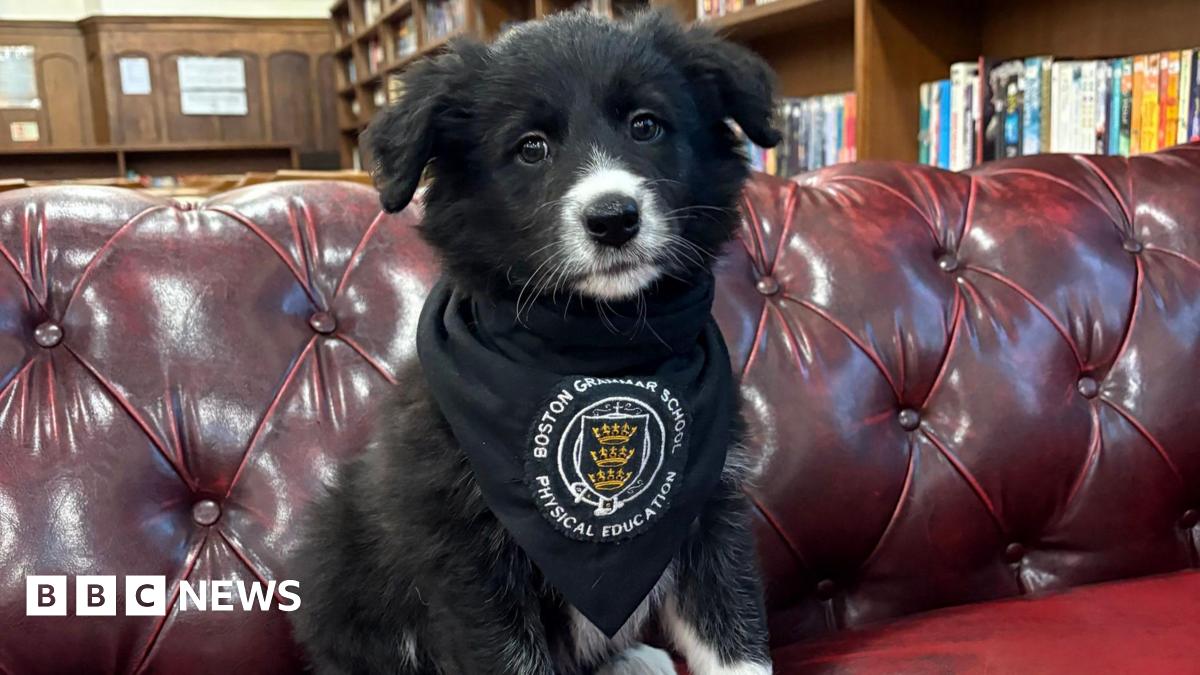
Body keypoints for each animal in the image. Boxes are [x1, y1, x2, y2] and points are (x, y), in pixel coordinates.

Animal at [291, 9, 780, 675]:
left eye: (646, 125)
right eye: (531, 148)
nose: (613, 219)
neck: (598, 342)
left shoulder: (711, 508)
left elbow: (733, 638)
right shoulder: (469, 558)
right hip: (334, 557)